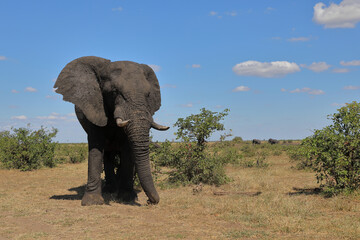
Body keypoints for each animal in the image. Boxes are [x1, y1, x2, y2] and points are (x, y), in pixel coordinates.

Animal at [53, 56, 169, 206]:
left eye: (148, 95)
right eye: (114, 92)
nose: (149, 201)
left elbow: (127, 150)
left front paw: (127, 198)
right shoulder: (94, 108)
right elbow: (96, 147)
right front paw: (92, 202)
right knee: (107, 155)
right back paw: (110, 189)